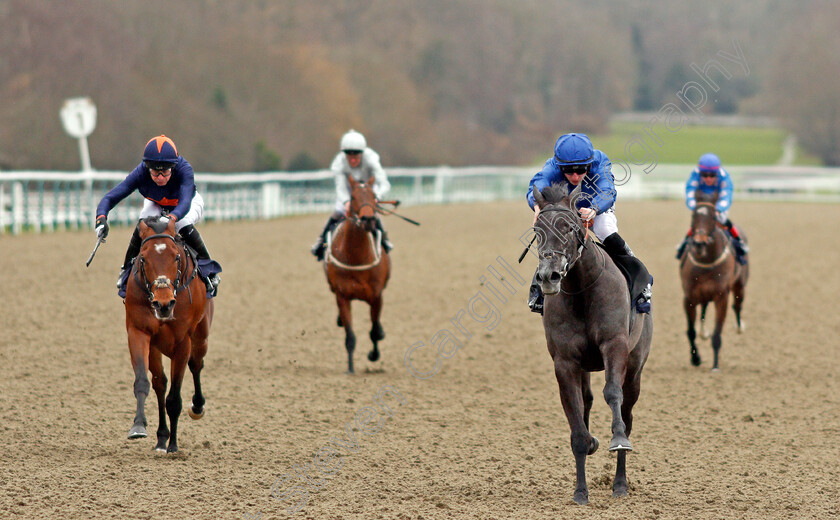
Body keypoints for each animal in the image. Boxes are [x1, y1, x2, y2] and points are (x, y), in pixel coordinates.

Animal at [123, 217, 213, 452]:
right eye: (143, 258)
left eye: (176, 257)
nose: (163, 303)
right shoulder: (139, 333)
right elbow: (144, 382)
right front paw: (139, 426)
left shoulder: (183, 342)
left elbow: (174, 399)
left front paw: (173, 446)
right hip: (156, 347)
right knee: (160, 384)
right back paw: (162, 437)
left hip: (201, 337)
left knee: (196, 365)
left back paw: (197, 407)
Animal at [324, 177, 390, 372]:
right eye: (352, 197)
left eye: (374, 195)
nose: (368, 219)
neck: (356, 257)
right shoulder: (343, 296)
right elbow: (350, 337)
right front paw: (350, 368)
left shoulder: (376, 296)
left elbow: (375, 331)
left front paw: (374, 354)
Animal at [532, 185, 656, 506]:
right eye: (537, 230)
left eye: (569, 227)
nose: (548, 276)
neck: (581, 289)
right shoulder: (565, 362)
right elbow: (576, 419)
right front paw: (580, 491)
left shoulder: (615, 346)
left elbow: (612, 394)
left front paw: (617, 440)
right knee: (586, 400)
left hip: (635, 368)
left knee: (627, 410)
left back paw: (620, 484)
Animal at [680, 199, 752, 370]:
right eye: (693, 215)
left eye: (713, 217)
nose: (699, 243)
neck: (706, 261)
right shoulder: (689, 297)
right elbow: (690, 331)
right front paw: (696, 358)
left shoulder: (721, 297)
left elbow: (717, 333)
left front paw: (715, 365)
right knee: (704, 308)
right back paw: (703, 332)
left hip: (740, 286)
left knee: (737, 306)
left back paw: (739, 327)